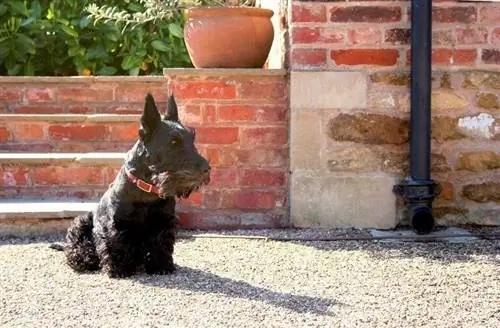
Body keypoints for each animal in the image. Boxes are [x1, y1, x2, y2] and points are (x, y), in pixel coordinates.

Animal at [52, 92, 211, 276]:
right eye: (173, 142)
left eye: (192, 138)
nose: (206, 169)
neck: (147, 191)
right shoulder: (115, 223)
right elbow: (116, 244)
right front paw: (119, 268)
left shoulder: (164, 222)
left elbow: (161, 244)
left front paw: (161, 265)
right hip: (82, 221)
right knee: (75, 247)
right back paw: (86, 258)